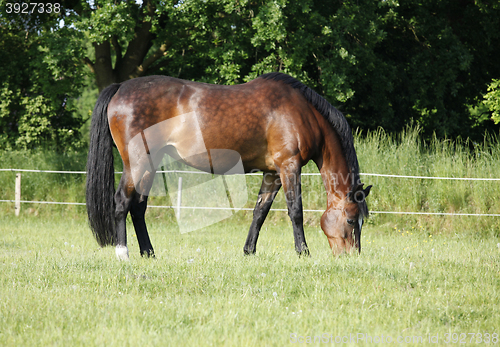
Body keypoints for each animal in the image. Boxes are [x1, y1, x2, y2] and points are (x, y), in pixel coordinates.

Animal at [85, 73, 372, 262]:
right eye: (350, 219)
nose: (352, 256)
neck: (303, 113)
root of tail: (121, 87)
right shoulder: (289, 166)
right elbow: (296, 211)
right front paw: (303, 252)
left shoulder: (272, 173)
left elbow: (260, 212)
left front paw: (249, 251)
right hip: (137, 162)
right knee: (122, 202)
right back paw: (123, 253)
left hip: (150, 164)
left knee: (138, 207)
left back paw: (149, 253)